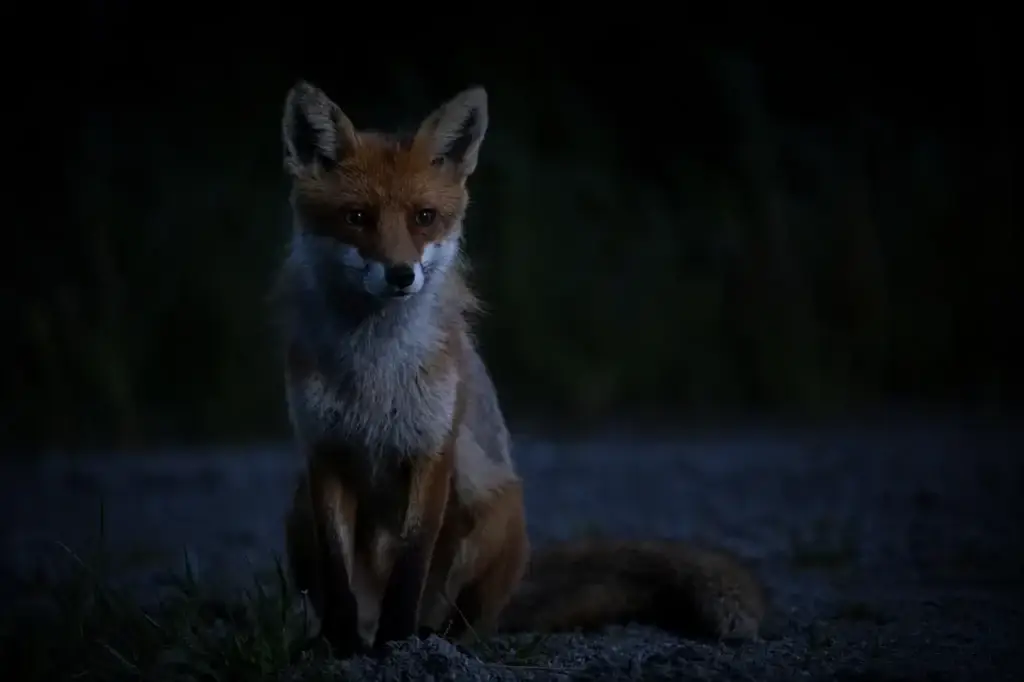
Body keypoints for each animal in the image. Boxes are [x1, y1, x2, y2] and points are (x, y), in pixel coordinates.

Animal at [274, 81, 766, 657]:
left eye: (424, 216)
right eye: (357, 217)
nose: (401, 275)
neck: (374, 374)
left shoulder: (432, 450)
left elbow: (411, 569)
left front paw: (398, 646)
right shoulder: (324, 452)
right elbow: (338, 573)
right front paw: (341, 645)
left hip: (498, 511)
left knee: (468, 621)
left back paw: (437, 639)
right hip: (297, 506)